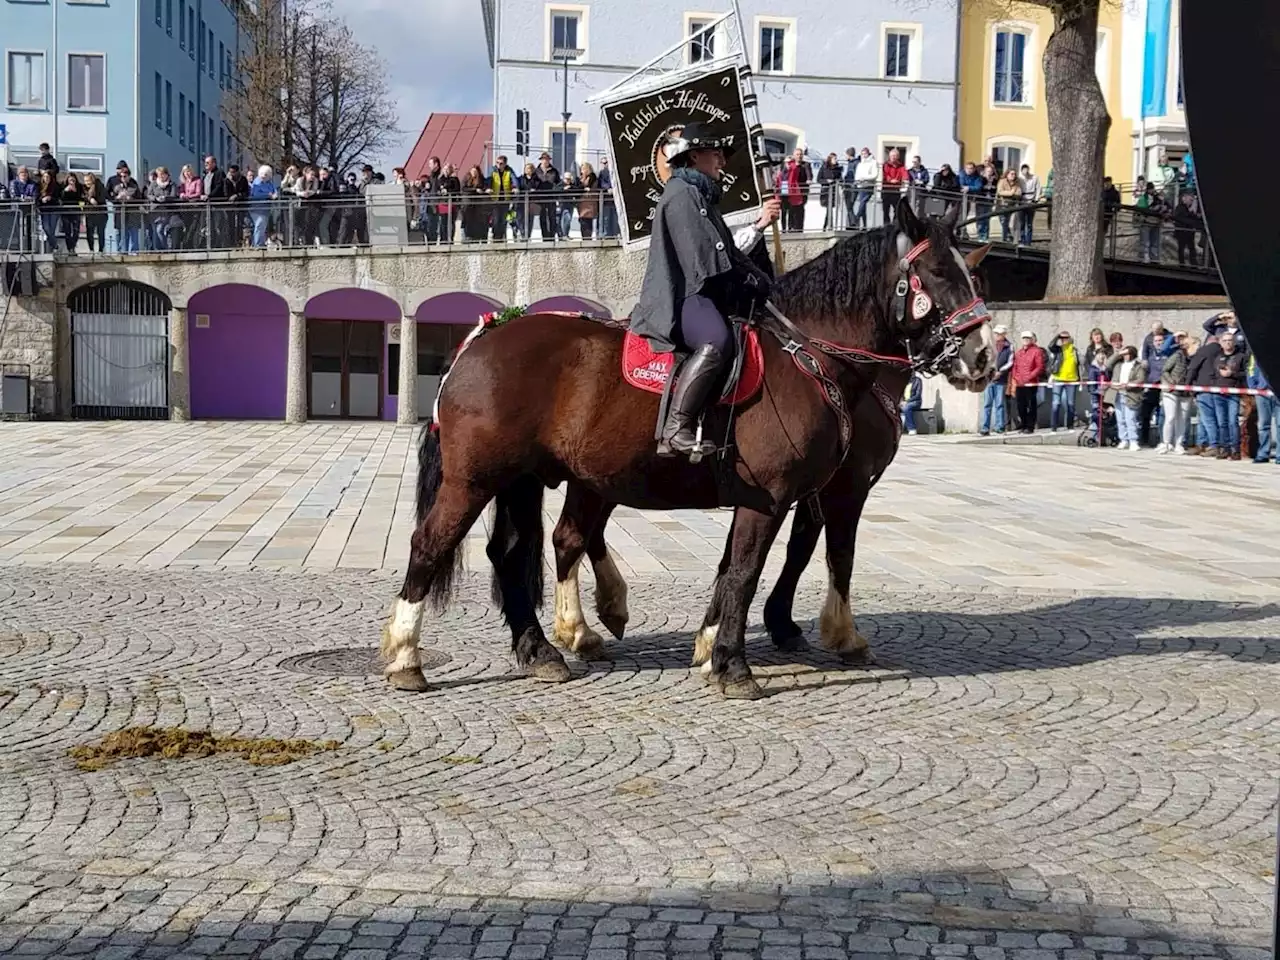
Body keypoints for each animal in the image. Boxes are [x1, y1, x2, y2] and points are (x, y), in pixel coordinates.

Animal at [545, 245, 993, 670]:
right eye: (942, 277)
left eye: (976, 282)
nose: (982, 357)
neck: (822, 362)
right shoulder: (841, 485)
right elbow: (829, 552)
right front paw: (835, 633)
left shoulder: (795, 488)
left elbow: (766, 554)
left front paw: (721, 635)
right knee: (576, 535)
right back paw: (587, 624)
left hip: (597, 475)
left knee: (577, 534)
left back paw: (597, 615)